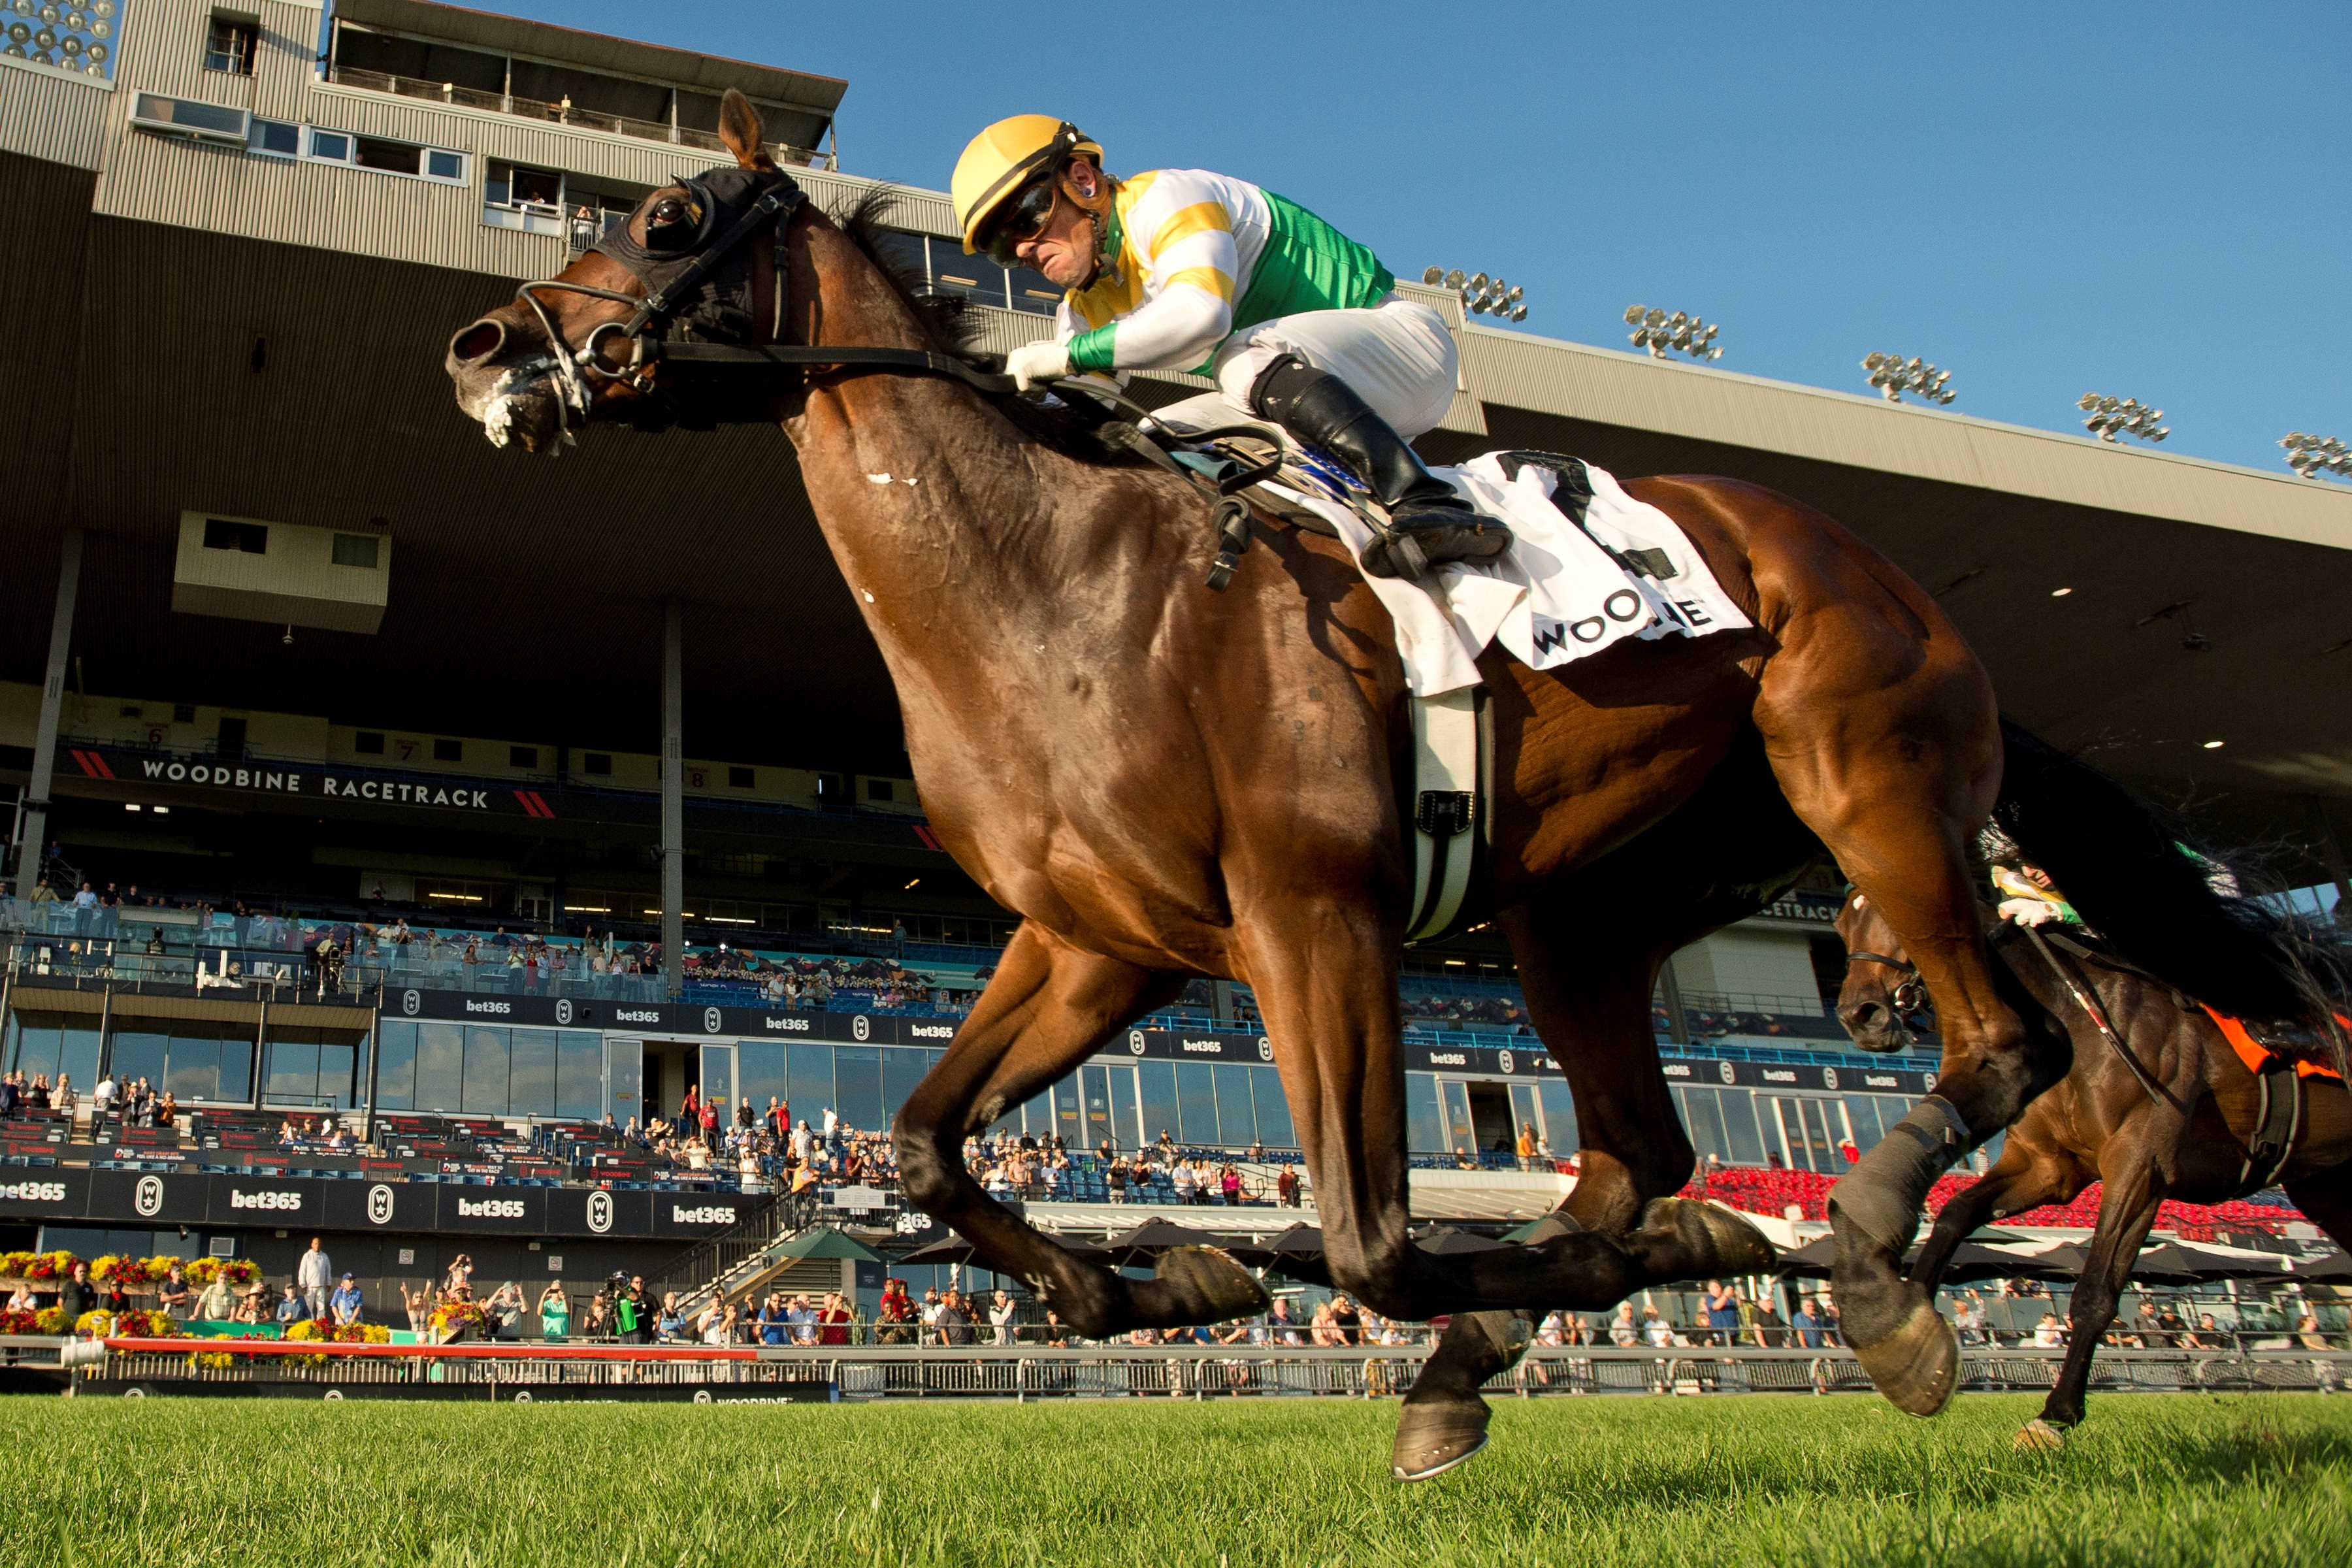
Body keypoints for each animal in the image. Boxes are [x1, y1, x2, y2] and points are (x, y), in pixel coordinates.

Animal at [437, 95, 2060, 1476]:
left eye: (666, 217)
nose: (478, 346)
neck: (1054, 580)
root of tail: (1853, 546)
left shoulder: (1310, 911)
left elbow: (1370, 1241)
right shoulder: (1098, 941)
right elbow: (927, 1146)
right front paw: (1153, 1281)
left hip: (1867, 780)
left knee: (1998, 1049)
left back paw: (1869, 1269)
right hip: (1588, 907)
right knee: (1637, 1149)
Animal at [1835, 860, 2352, 1448]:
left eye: (1898, 908)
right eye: (1842, 927)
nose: (1860, 1014)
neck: (2070, 1016)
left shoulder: (2140, 1164)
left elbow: (2097, 1291)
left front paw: (2055, 1414)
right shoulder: (2048, 1166)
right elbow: (1954, 1215)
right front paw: (1903, 1334)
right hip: (2326, 1186)